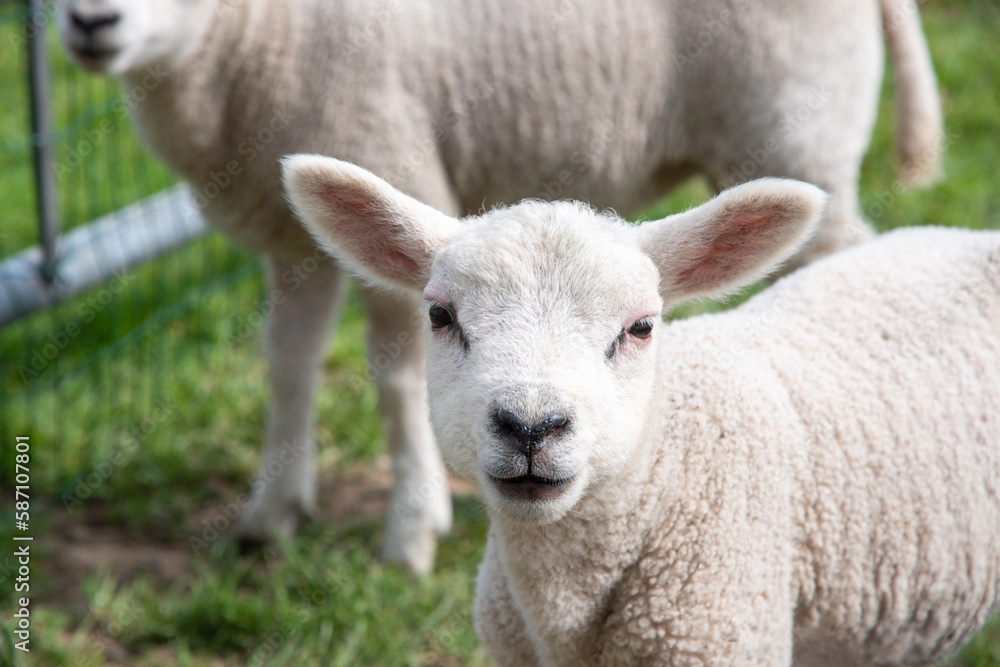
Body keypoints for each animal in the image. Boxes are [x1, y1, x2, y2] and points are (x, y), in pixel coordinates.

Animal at [57, 0, 943, 573]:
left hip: (796, 127)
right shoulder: (293, 241)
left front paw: (411, 530)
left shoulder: (392, 149)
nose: (92, 22)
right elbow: (288, 365)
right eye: (448, 314)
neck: (250, 35)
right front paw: (270, 515)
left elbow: (394, 378)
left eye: (639, 328)